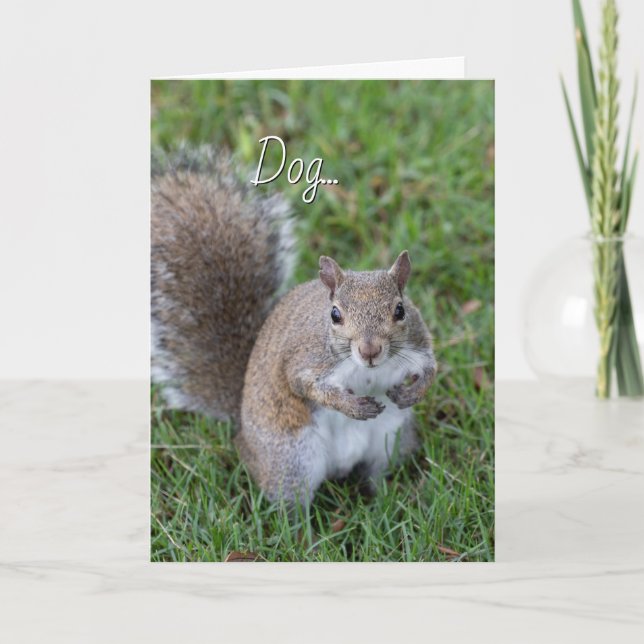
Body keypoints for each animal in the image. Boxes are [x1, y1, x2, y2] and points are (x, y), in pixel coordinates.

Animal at [152, 146, 437, 505]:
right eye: (335, 315)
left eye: (400, 310)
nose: (370, 350)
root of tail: (242, 431)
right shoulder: (306, 358)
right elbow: (302, 384)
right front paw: (350, 405)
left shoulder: (418, 342)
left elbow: (431, 368)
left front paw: (413, 391)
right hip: (293, 457)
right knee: (291, 503)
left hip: (390, 440)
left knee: (377, 473)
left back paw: (385, 498)